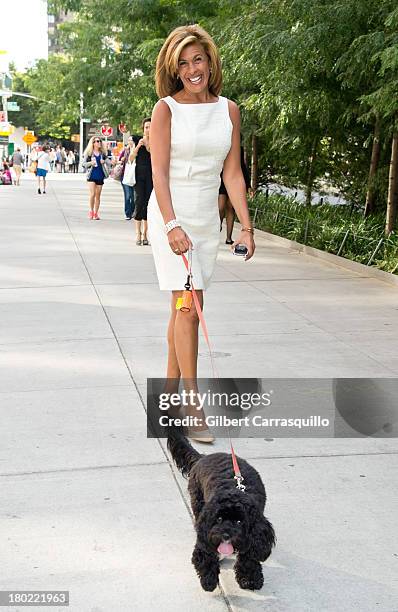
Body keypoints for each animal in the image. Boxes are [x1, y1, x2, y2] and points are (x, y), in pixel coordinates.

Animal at [166, 430, 276, 592]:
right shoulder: (206, 529)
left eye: (239, 522)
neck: (236, 490)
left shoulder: (255, 534)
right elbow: (205, 553)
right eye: (218, 519)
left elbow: (249, 556)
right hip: (197, 502)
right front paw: (209, 579)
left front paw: (249, 578)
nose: (225, 535)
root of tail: (203, 457)